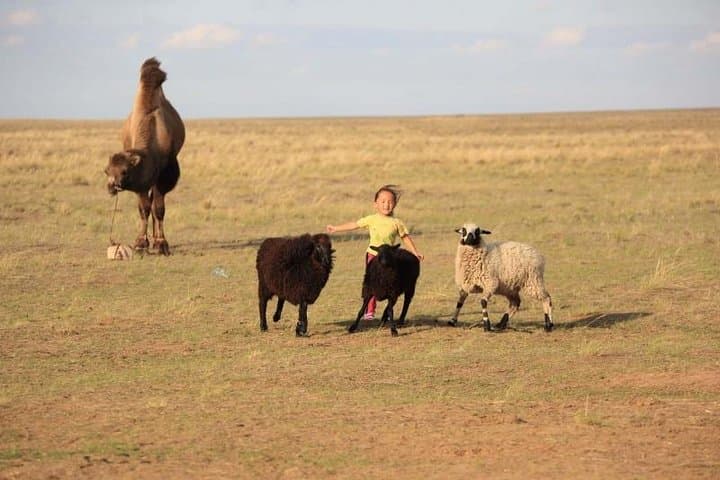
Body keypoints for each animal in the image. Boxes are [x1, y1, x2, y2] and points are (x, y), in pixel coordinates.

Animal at [105, 57, 185, 255]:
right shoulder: (142, 180)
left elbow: (159, 209)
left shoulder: (162, 175)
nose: (112, 186)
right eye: (106, 171)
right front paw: (141, 242)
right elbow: (144, 209)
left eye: (124, 171)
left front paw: (161, 243)